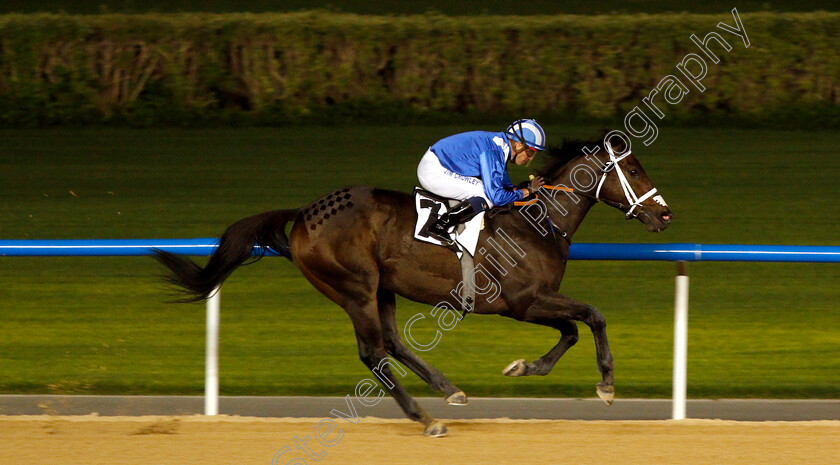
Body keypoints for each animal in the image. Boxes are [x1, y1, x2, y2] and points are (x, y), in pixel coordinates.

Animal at [154, 133, 672, 436]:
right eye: (634, 170)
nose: (665, 214)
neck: (537, 222)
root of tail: (303, 213)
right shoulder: (525, 302)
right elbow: (591, 317)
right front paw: (606, 385)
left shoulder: (531, 303)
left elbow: (571, 330)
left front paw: (525, 367)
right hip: (355, 286)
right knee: (373, 352)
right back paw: (425, 418)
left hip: (382, 288)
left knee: (393, 343)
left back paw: (449, 391)